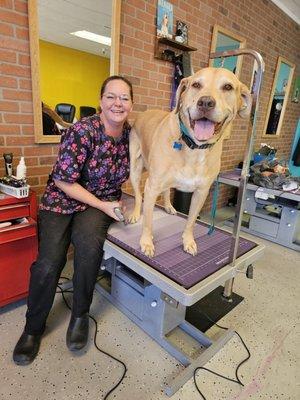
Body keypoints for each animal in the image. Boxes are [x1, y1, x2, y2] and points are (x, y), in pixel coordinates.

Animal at [126, 67, 251, 258]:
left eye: (228, 87)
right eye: (196, 85)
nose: (206, 102)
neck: (195, 148)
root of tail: (144, 114)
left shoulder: (201, 192)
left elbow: (191, 221)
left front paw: (188, 241)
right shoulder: (152, 186)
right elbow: (148, 221)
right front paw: (146, 242)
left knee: (167, 190)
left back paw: (169, 206)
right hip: (135, 169)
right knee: (139, 197)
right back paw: (135, 213)